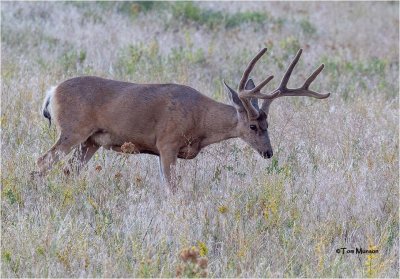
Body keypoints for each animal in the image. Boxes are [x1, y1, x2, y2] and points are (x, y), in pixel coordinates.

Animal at [36, 49, 330, 191]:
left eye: (269, 125)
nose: (268, 152)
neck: (199, 119)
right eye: (253, 125)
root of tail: (52, 91)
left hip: (91, 141)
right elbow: (172, 188)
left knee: (68, 170)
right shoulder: (167, 143)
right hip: (73, 130)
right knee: (42, 162)